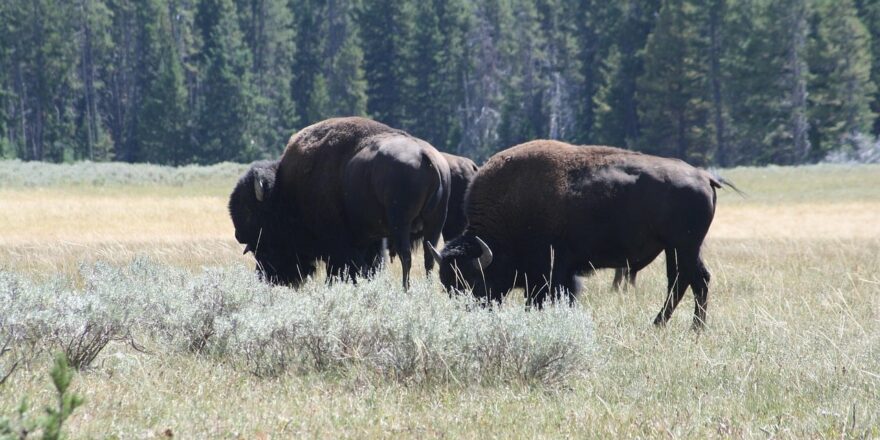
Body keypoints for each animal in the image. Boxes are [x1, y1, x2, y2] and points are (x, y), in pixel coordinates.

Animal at [229, 117, 451, 289]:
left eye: (251, 211)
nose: (239, 235)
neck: (287, 189)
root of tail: (425, 155)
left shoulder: (339, 242)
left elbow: (343, 267)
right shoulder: (370, 239)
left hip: (401, 224)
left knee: (407, 257)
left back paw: (405, 290)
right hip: (435, 225)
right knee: (428, 258)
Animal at [429, 140, 733, 330]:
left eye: (475, 282)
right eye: (448, 287)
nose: (470, 315)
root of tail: (703, 176)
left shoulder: (551, 273)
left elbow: (544, 299)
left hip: (685, 246)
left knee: (694, 280)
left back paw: (692, 328)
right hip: (677, 248)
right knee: (683, 281)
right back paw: (664, 324)